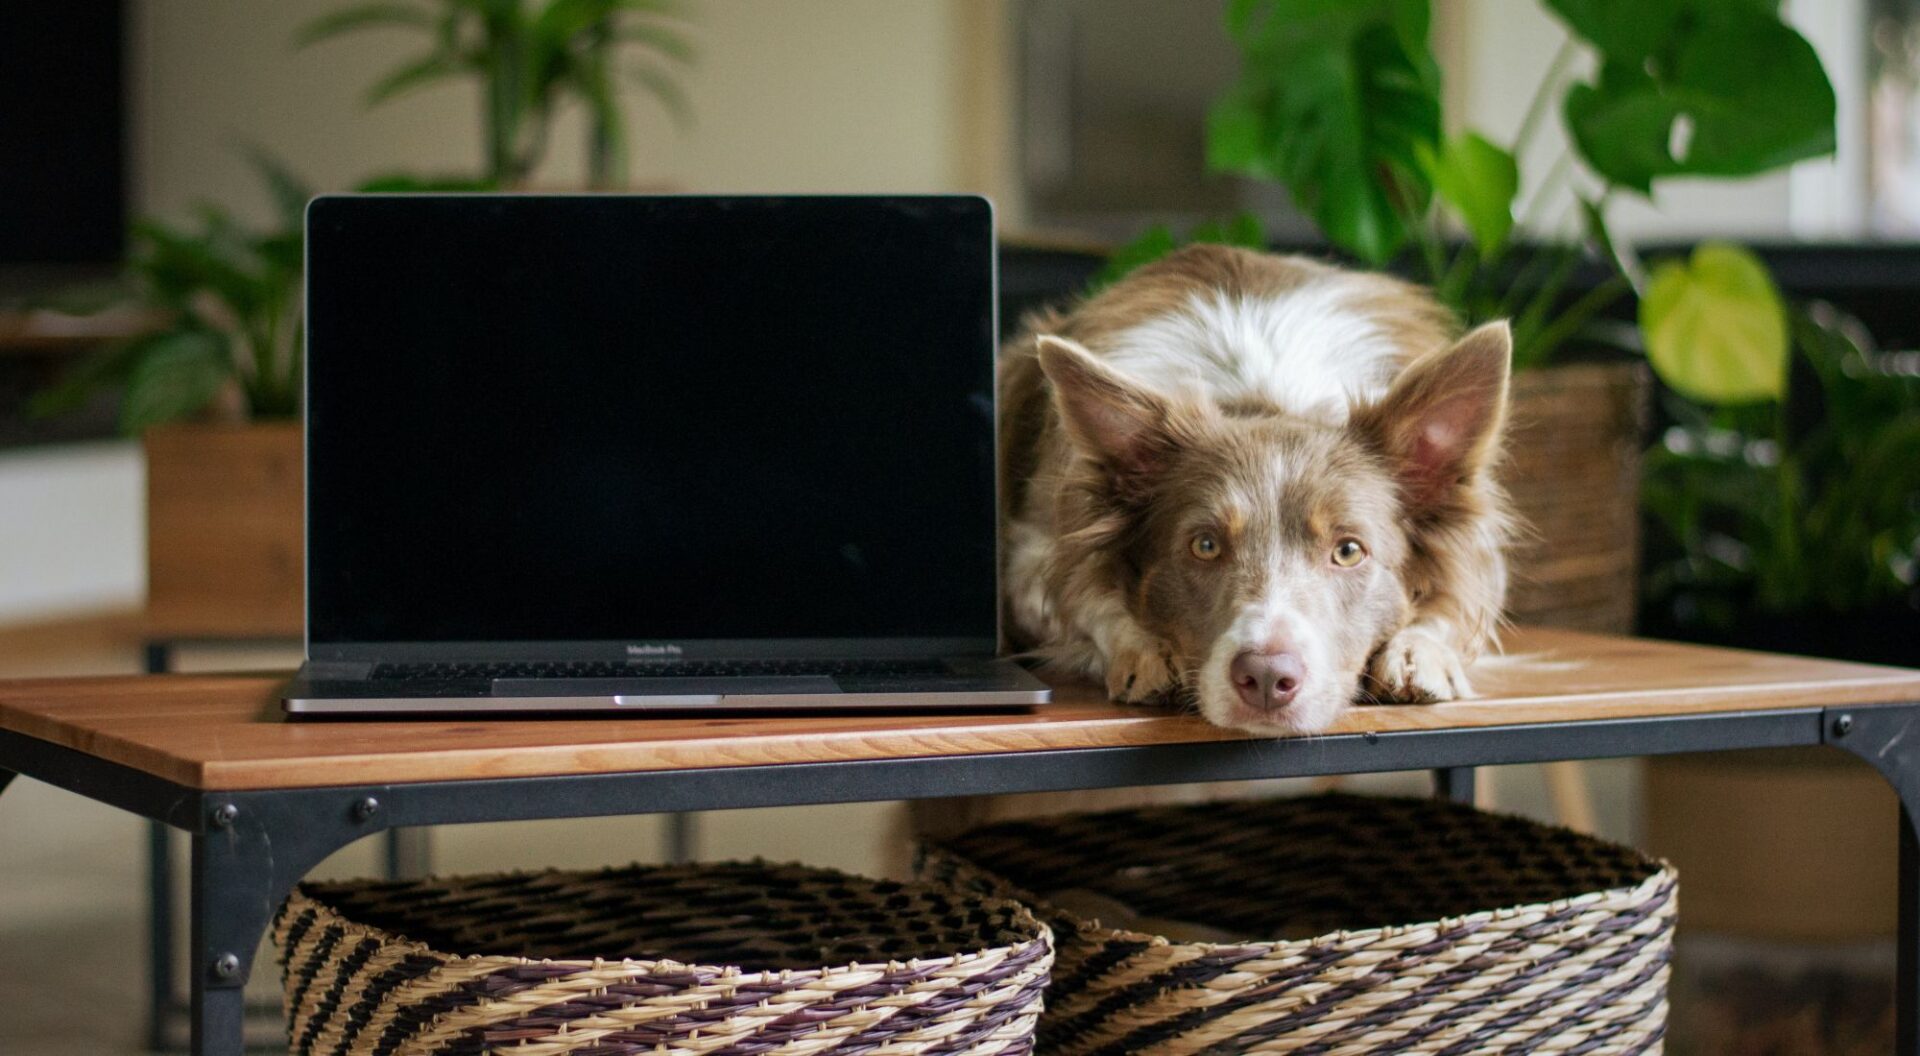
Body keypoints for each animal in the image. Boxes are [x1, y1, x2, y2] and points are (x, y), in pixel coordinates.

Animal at [990, 245, 1512, 737]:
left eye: (1348, 551)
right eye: (1204, 545)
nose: (1265, 677)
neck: (1264, 401)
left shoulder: (1481, 558)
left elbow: (1457, 604)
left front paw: (1419, 653)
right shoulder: (1032, 559)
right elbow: (1085, 600)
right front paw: (1145, 649)